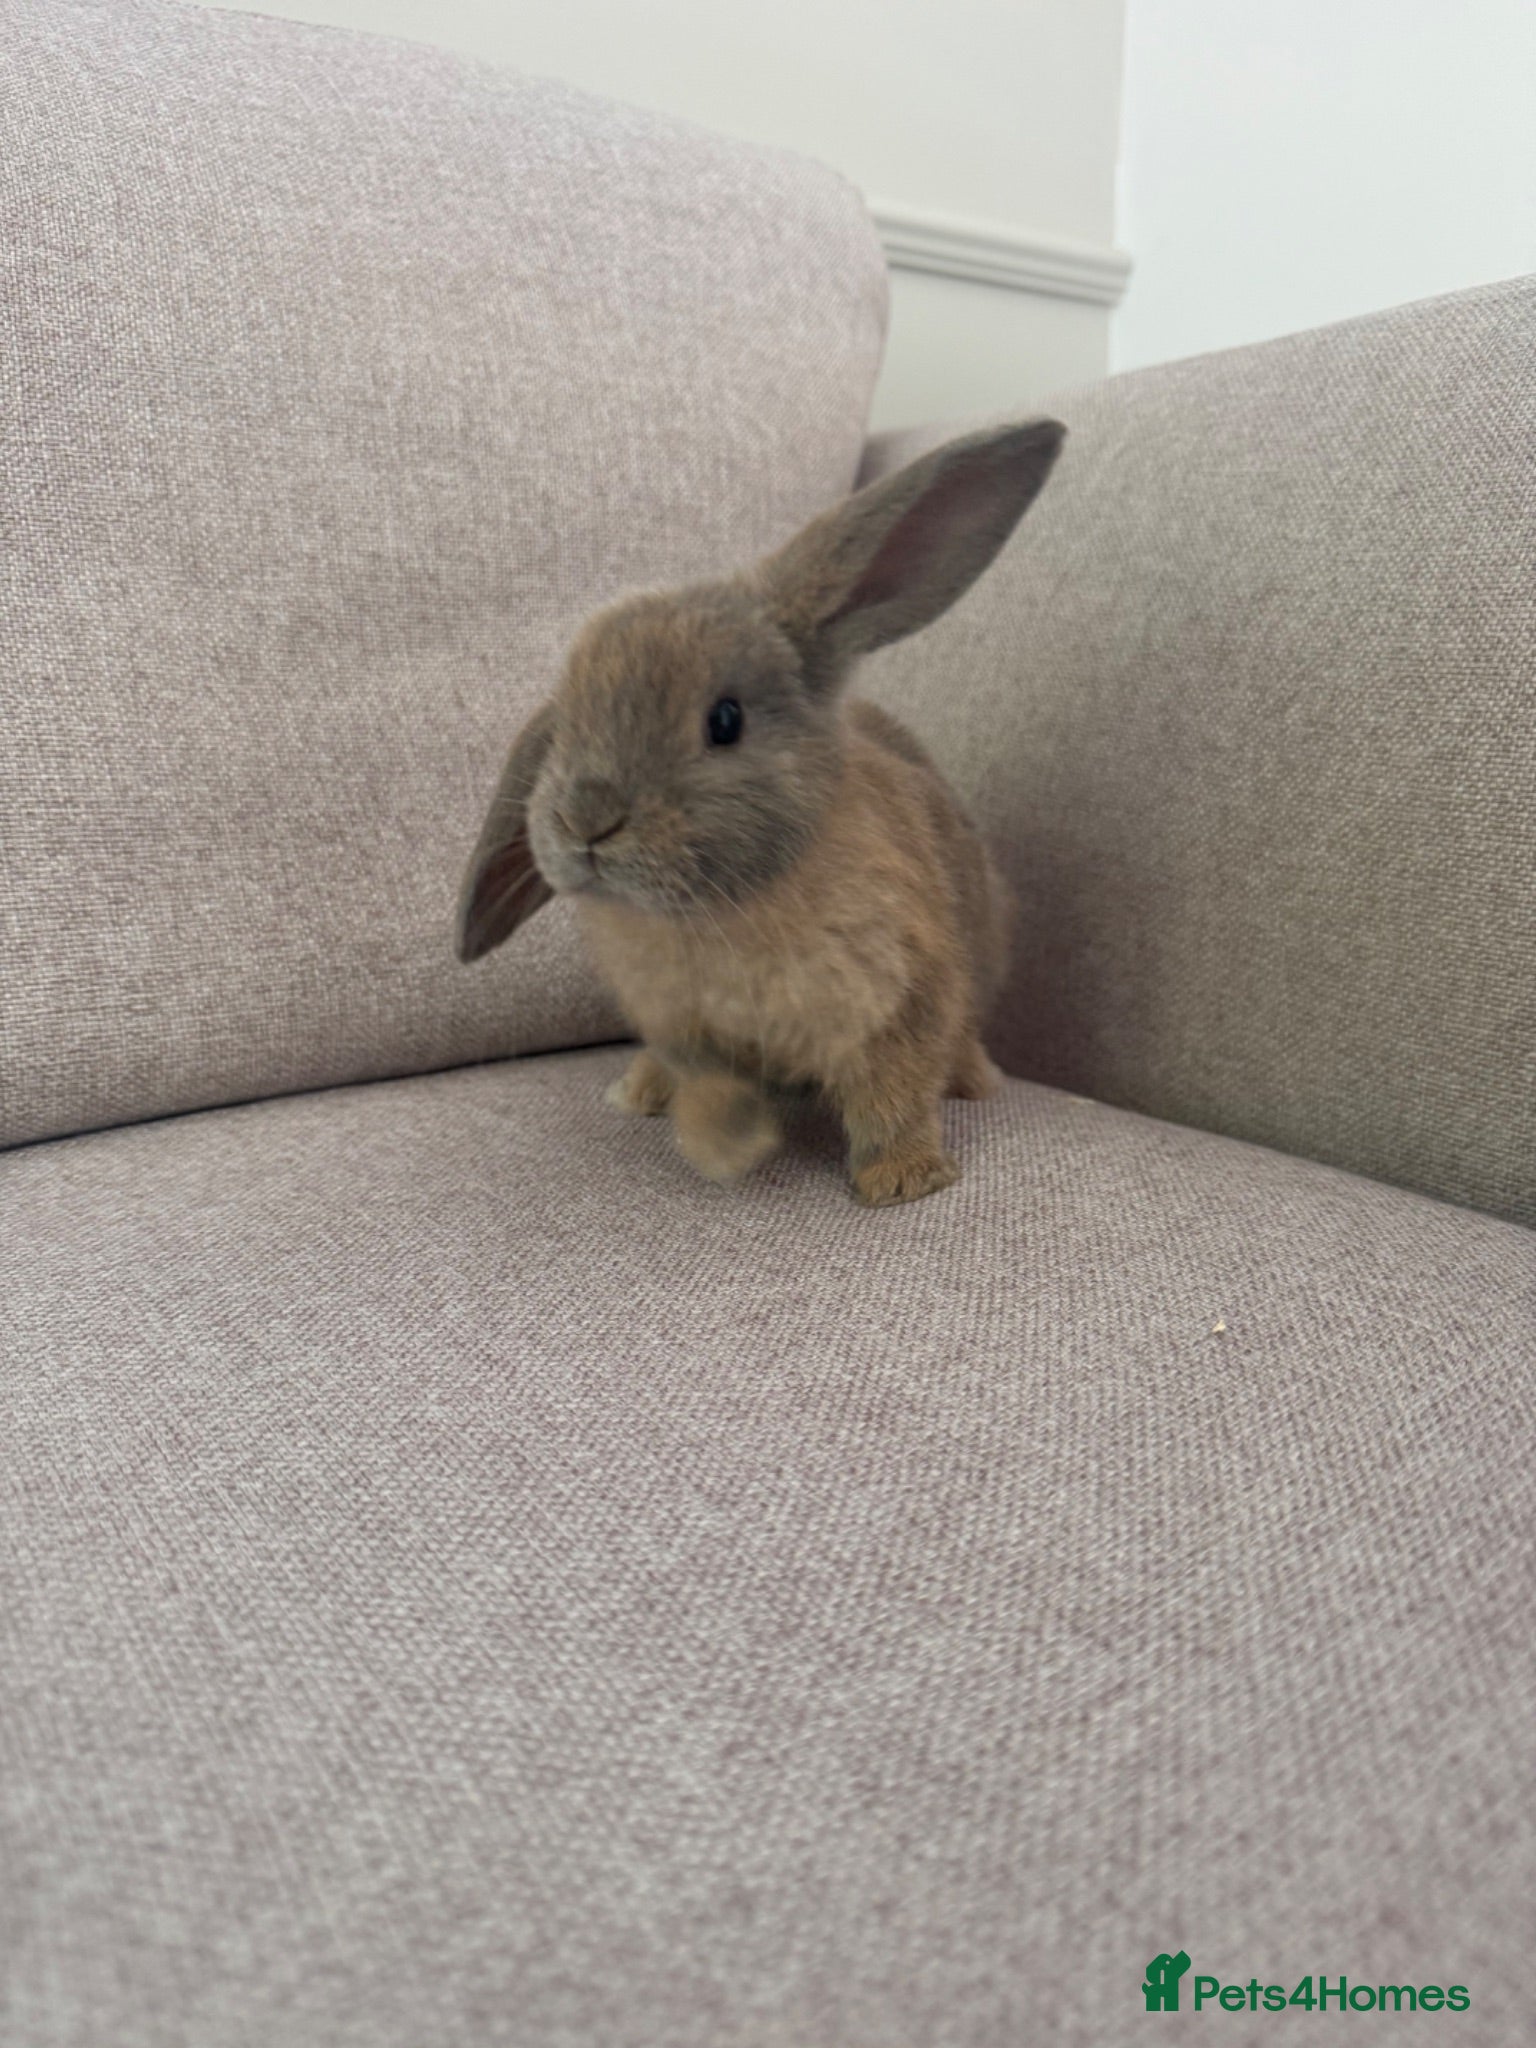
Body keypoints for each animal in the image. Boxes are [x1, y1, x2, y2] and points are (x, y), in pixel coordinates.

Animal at [456, 418, 1064, 1205]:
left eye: (725, 720)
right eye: (563, 726)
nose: (586, 819)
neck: (727, 909)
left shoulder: (906, 998)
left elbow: (893, 1097)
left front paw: (903, 1183)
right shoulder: (685, 1030)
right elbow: (712, 1089)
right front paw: (731, 1146)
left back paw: (974, 1084)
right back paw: (640, 1093)